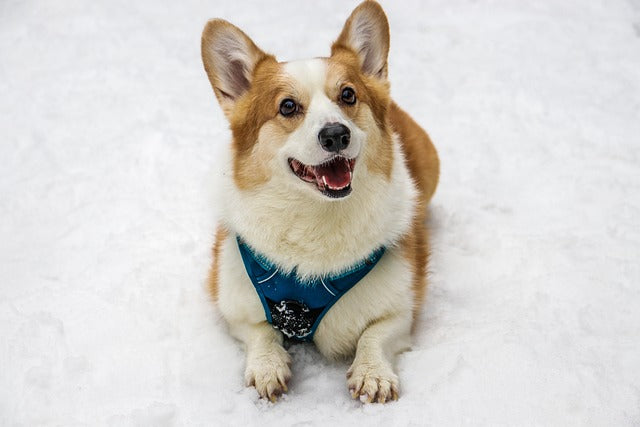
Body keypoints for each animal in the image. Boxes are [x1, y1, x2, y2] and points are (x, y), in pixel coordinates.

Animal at [201, 0, 440, 402]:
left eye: (348, 95)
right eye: (287, 107)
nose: (336, 134)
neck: (316, 216)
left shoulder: (401, 309)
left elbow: (375, 334)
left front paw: (373, 373)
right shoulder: (234, 306)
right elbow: (259, 332)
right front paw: (268, 366)